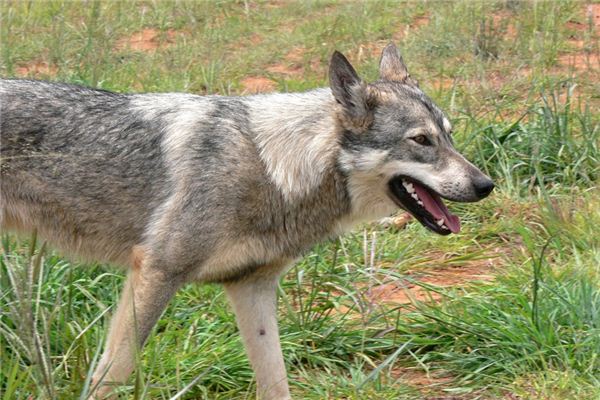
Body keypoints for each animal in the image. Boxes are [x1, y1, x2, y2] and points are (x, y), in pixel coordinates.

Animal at [0, 42, 492, 398]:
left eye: (449, 135)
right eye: (422, 141)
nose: (486, 184)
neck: (273, 168)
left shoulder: (251, 287)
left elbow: (276, 383)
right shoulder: (156, 273)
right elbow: (111, 376)